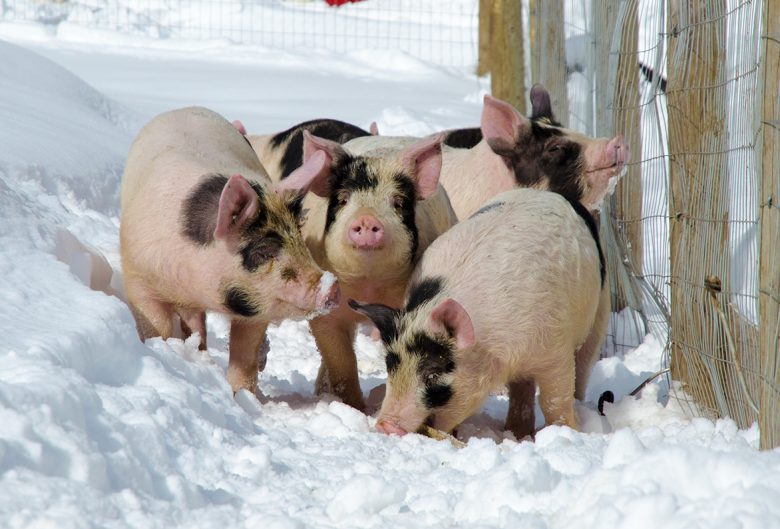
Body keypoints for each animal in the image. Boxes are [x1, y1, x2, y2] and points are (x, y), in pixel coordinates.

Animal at [120, 107, 340, 394]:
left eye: (299, 240)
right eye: (263, 250)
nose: (332, 285)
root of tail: (184, 109)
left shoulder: (255, 306)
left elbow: (244, 357)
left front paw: (243, 396)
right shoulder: (137, 275)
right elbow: (156, 325)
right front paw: (164, 351)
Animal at [274, 130, 458, 410]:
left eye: (398, 202)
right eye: (343, 199)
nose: (366, 219)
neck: (367, 285)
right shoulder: (326, 312)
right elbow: (341, 363)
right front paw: (353, 407)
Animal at [350, 188, 608, 440]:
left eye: (433, 373)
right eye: (389, 367)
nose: (385, 425)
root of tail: (550, 192)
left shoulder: (556, 350)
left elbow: (554, 401)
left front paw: (566, 432)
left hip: (599, 313)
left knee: (582, 367)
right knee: (521, 389)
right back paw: (517, 433)